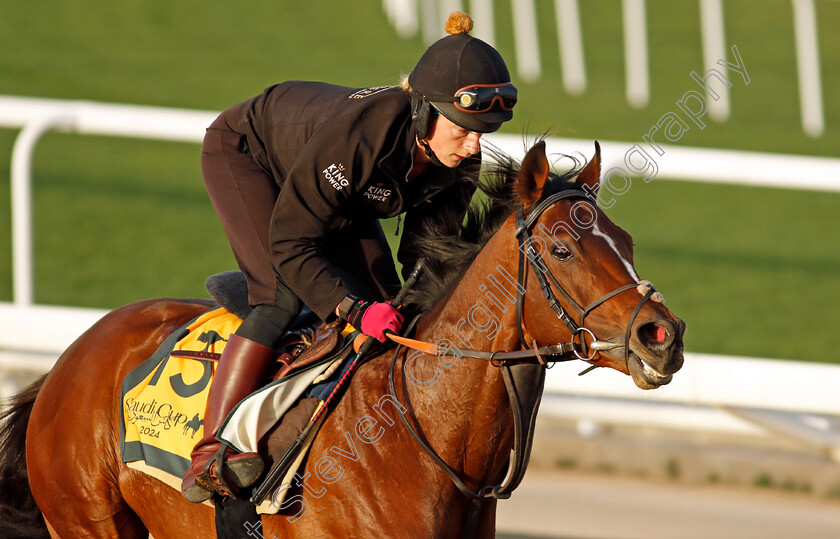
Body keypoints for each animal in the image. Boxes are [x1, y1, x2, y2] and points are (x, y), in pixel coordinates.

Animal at [0, 141, 684, 536]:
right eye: (563, 249)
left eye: (625, 242)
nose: (663, 334)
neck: (418, 440)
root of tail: (67, 362)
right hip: (86, 522)